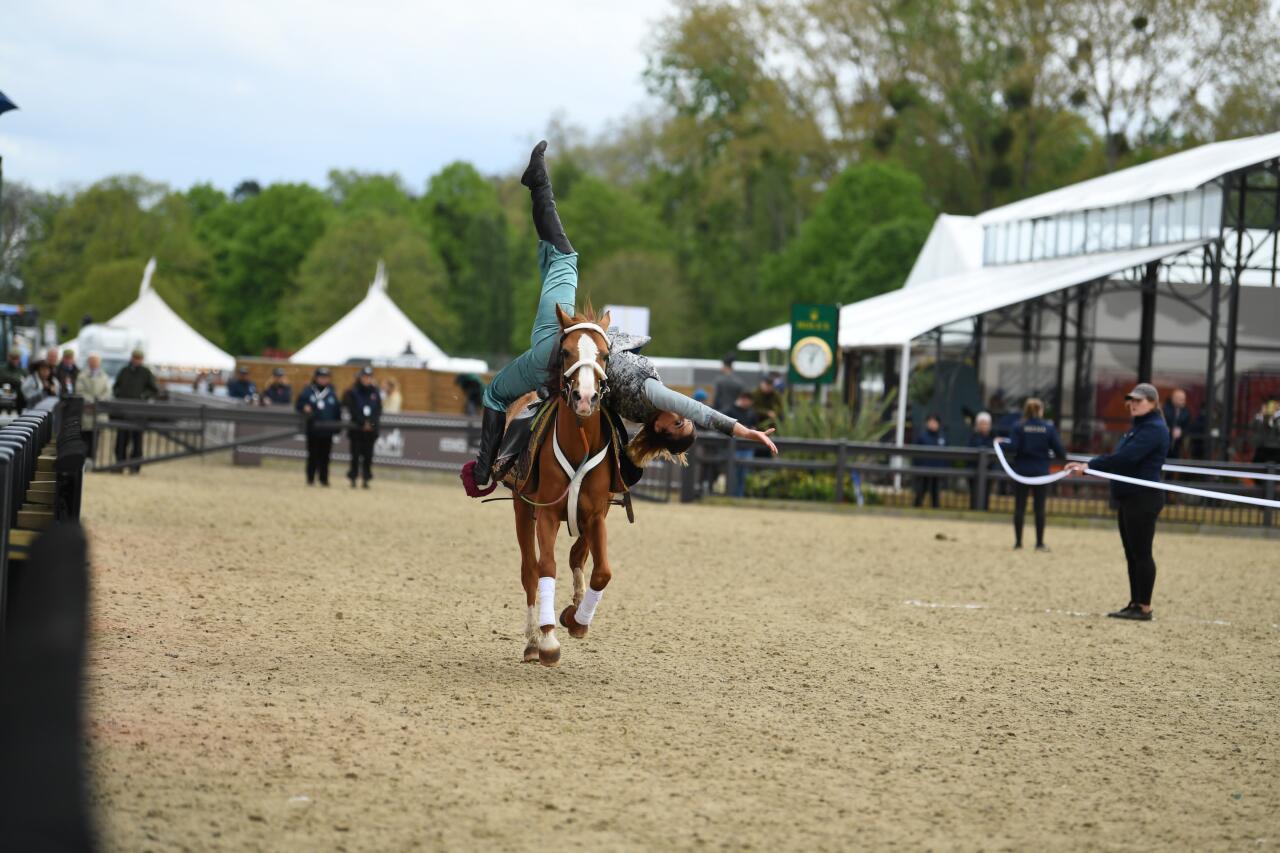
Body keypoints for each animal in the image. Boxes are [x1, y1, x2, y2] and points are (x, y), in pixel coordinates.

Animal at [506, 303, 611, 666]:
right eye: (565, 352)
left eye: (605, 355)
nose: (585, 397)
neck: (579, 445)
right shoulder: (548, 514)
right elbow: (545, 567)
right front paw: (548, 638)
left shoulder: (596, 514)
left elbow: (601, 571)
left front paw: (577, 619)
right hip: (522, 510)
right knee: (529, 571)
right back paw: (532, 641)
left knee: (578, 557)